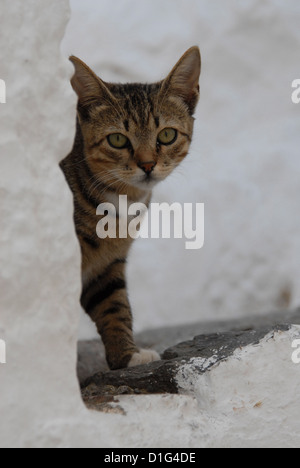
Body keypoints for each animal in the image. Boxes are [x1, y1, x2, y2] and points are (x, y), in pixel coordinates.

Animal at [60, 47, 202, 370]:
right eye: (117, 139)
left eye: (166, 135)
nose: (148, 165)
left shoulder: (107, 266)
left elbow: (115, 307)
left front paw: (126, 356)